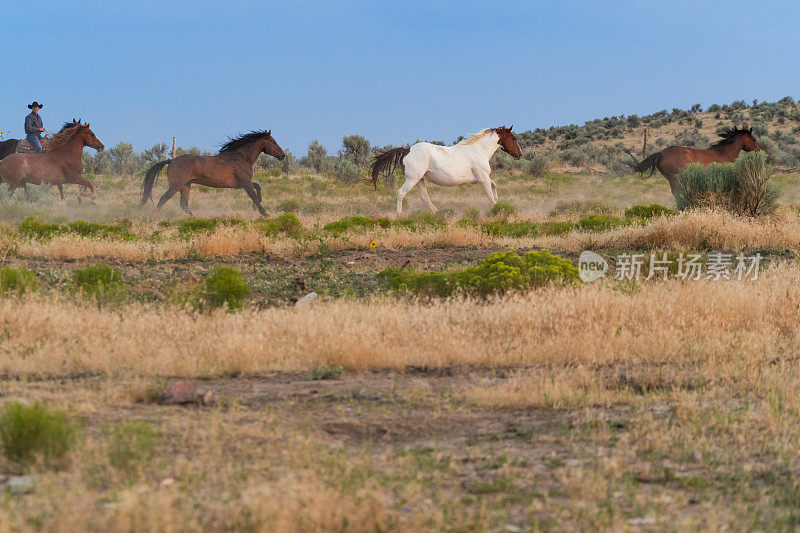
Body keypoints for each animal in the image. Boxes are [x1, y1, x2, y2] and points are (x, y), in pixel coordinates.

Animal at [141, 130, 284, 215]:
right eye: (273, 142)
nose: (283, 155)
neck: (242, 157)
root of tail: (171, 160)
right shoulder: (245, 183)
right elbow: (254, 195)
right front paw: (264, 213)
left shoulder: (242, 184)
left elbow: (258, 188)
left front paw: (256, 207)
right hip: (176, 186)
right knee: (163, 199)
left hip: (186, 186)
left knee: (184, 204)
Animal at [370, 125, 520, 213]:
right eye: (513, 138)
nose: (519, 154)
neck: (478, 150)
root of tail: (407, 150)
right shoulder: (483, 178)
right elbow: (489, 194)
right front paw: (496, 209)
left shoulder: (479, 179)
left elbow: (494, 185)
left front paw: (497, 201)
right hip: (412, 179)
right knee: (401, 193)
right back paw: (400, 214)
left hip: (420, 180)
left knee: (425, 198)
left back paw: (438, 213)